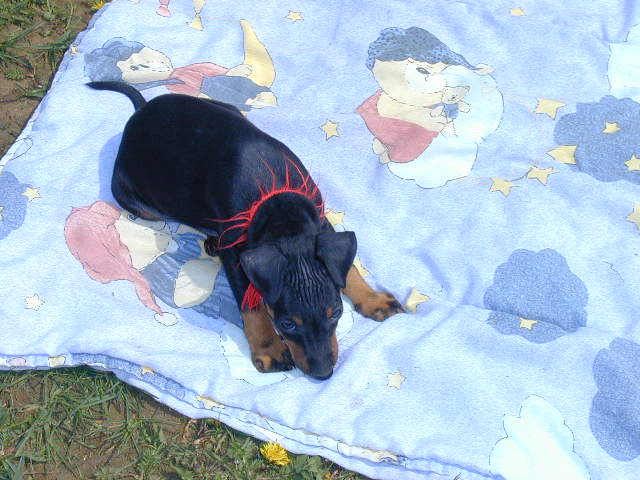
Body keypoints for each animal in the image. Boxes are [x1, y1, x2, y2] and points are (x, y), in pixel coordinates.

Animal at [88, 81, 404, 380]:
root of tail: (141, 110)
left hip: (228, 109)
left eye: (336, 312)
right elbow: (248, 303)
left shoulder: (321, 221)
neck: (276, 202)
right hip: (133, 198)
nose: (323, 374)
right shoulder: (235, 252)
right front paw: (269, 349)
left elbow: (348, 270)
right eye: (287, 324)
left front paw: (372, 299)